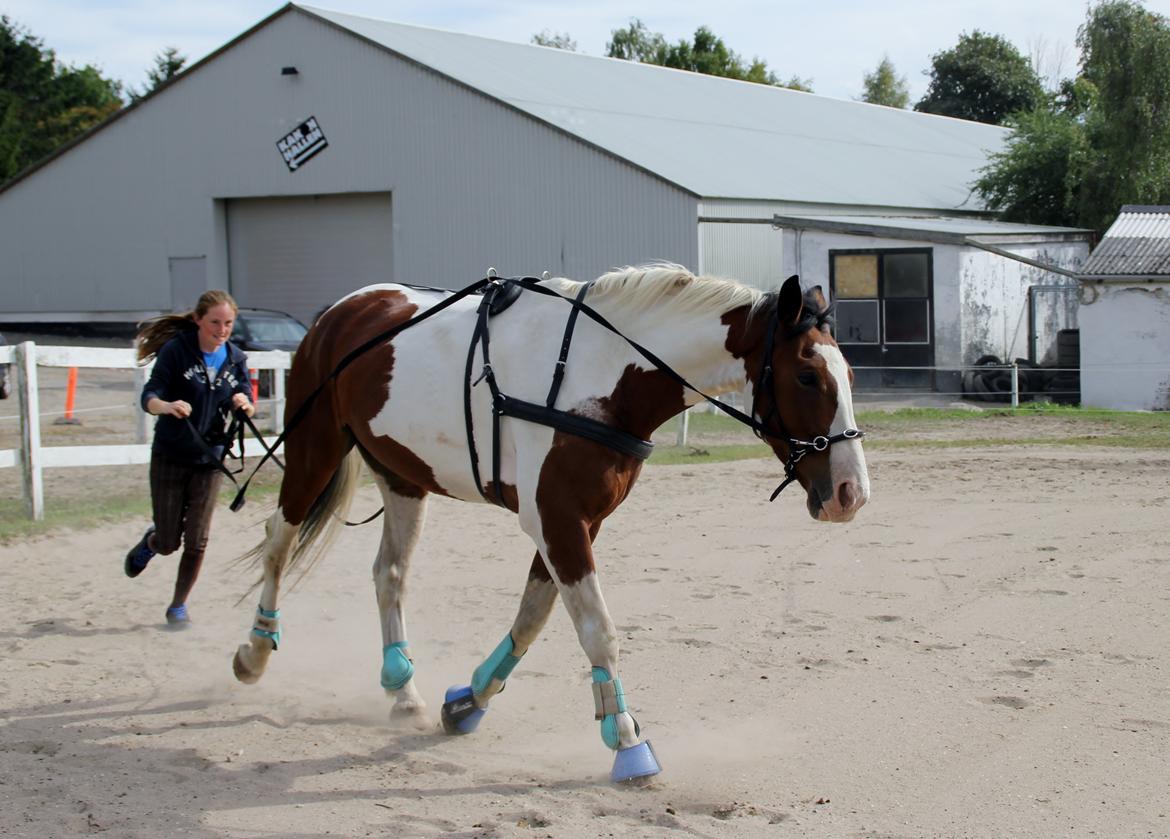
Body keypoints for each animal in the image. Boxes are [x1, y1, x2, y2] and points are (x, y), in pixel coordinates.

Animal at [230, 265, 870, 781]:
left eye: (851, 374)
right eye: (808, 377)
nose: (851, 494)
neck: (599, 373)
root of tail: (343, 309)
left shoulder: (573, 522)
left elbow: (533, 617)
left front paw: (470, 700)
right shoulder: (557, 520)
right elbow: (598, 631)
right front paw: (626, 742)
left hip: (403, 476)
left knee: (389, 574)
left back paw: (401, 686)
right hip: (313, 451)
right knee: (277, 544)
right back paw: (255, 651)